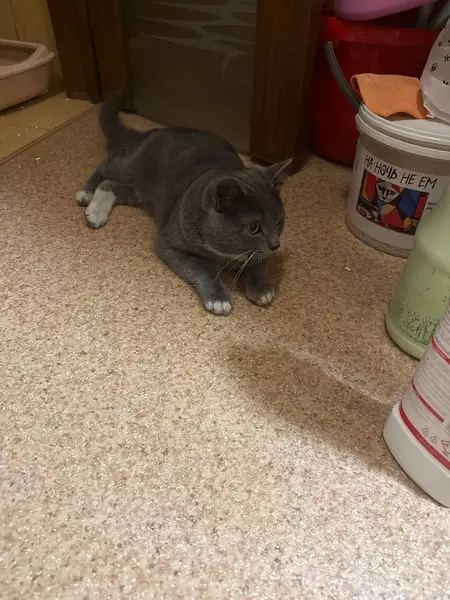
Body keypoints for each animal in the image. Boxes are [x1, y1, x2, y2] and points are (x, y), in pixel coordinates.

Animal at [76, 93, 292, 315]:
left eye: (279, 221)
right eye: (253, 228)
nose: (275, 244)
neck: (227, 256)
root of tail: (153, 132)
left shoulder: (260, 253)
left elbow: (260, 263)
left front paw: (260, 289)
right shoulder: (171, 245)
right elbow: (202, 269)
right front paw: (219, 299)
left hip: (142, 194)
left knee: (111, 185)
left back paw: (96, 212)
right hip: (133, 166)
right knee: (107, 167)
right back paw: (86, 196)